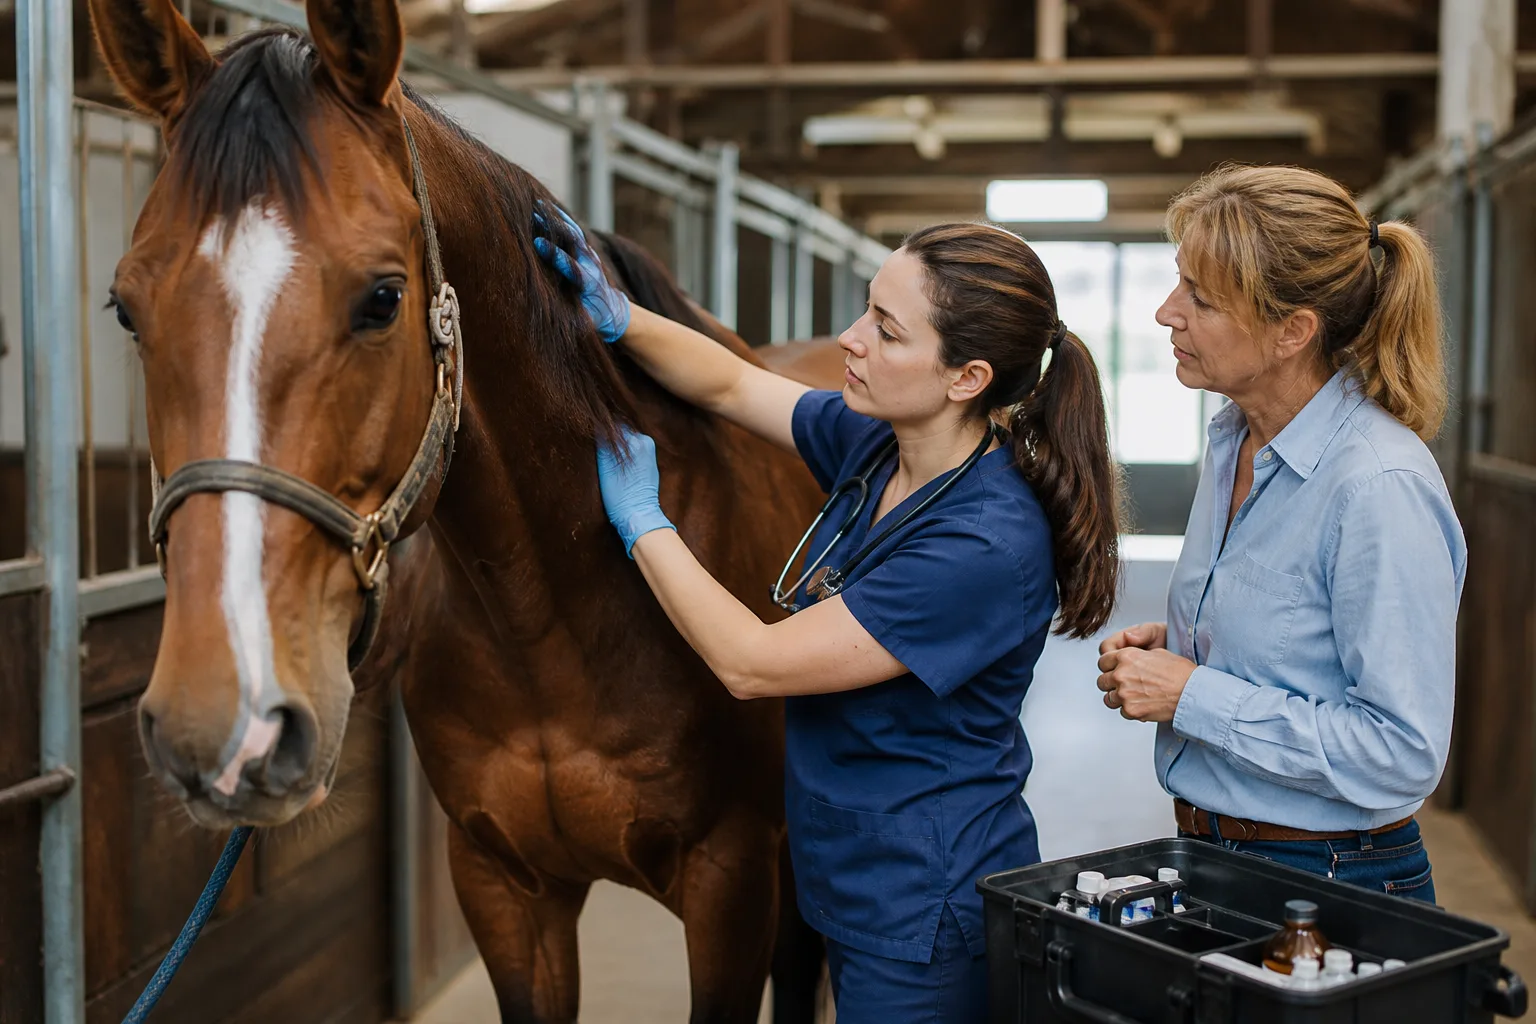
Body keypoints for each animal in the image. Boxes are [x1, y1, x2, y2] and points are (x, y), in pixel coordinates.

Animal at [87, 0, 833, 1018]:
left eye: (383, 297)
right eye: (126, 309)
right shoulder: (503, 886)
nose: (223, 725)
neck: (559, 613)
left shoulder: (732, 883)